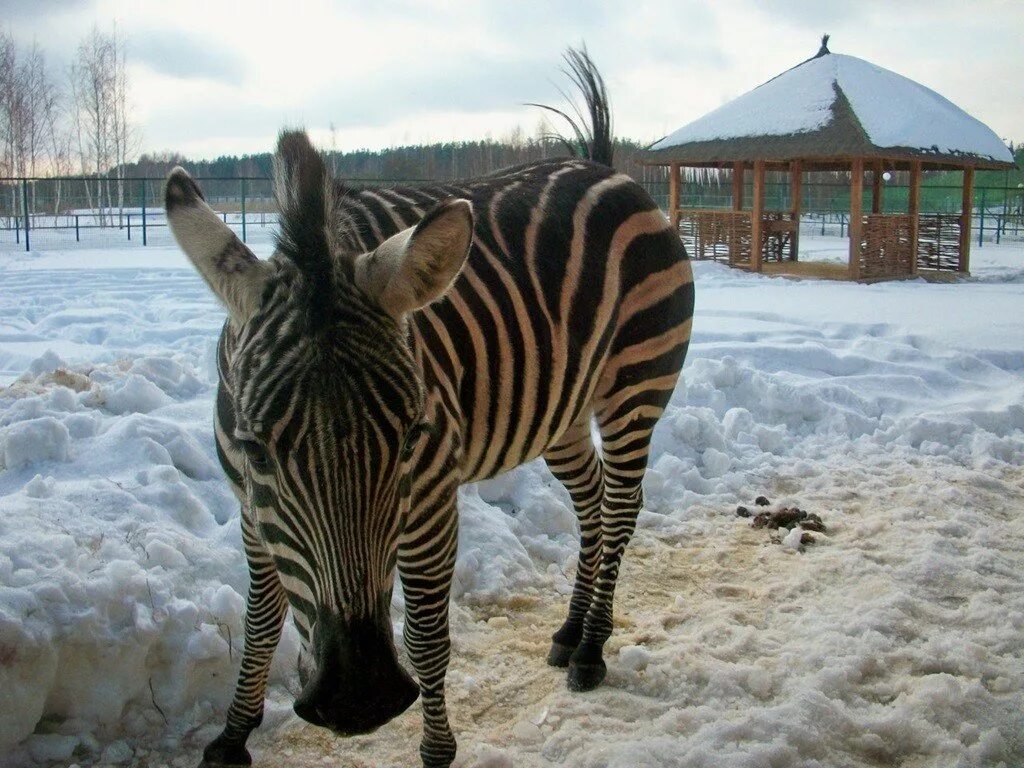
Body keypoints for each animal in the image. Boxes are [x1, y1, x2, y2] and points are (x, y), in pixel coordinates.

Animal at [165, 54, 696, 768]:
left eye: (411, 436)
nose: (358, 700)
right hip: (559, 410)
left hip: (636, 386)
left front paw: (437, 750)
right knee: (591, 502)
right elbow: (261, 623)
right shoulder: (253, 505)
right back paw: (568, 631)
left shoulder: (432, 498)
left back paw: (591, 648)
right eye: (254, 447)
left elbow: (424, 639)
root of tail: (604, 168)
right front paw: (231, 735)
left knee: (618, 509)